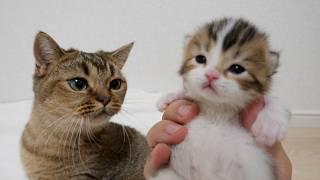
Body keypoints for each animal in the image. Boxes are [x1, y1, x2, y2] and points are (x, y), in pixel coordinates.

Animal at [151, 17, 288, 180]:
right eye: (200, 58)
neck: (217, 108)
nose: (211, 74)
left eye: (237, 68)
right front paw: (168, 97)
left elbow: (274, 100)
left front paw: (269, 126)